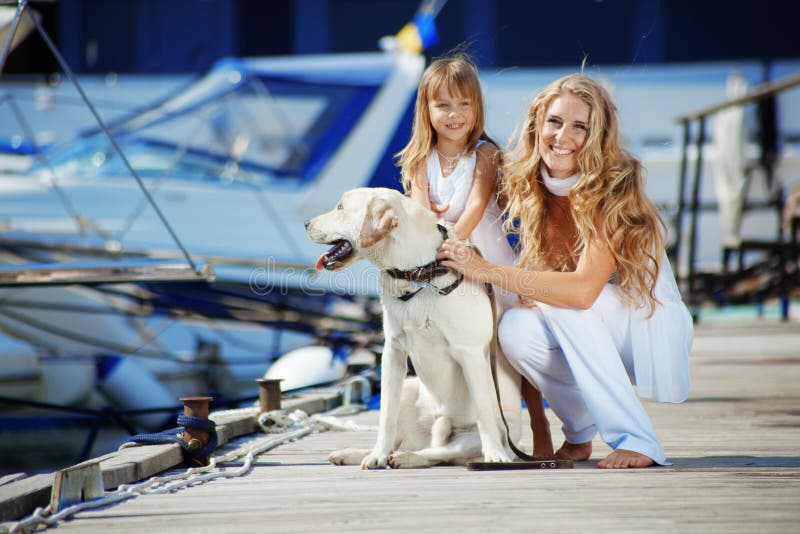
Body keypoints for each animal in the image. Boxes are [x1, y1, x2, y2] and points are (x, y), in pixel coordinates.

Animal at [304, 187, 520, 468]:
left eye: (340, 207)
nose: (306, 223)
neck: (416, 274)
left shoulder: (471, 353)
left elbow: (484, 410)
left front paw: (495, 454)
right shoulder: (393, 350)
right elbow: (386, 415)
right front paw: (377, 456)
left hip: (474, 436)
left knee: (437, 454)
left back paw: (407, 458)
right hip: (408, 387)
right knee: (406, 439)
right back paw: (359, 453)